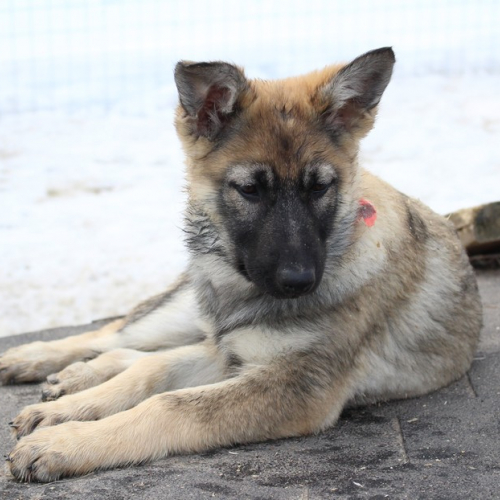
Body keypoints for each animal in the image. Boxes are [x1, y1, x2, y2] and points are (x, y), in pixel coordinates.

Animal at [1, 47, 482, 480]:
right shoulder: (252, 365)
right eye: (250, 189)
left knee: (138, 353)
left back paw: (73, 383)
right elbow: (159, 382)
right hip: (185, 314)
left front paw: (66, 439)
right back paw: (36, 360)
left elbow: (165, 400)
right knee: (121, 335)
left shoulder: (283, 379)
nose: (299, 281)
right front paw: (68, 425)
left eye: (319, 188)